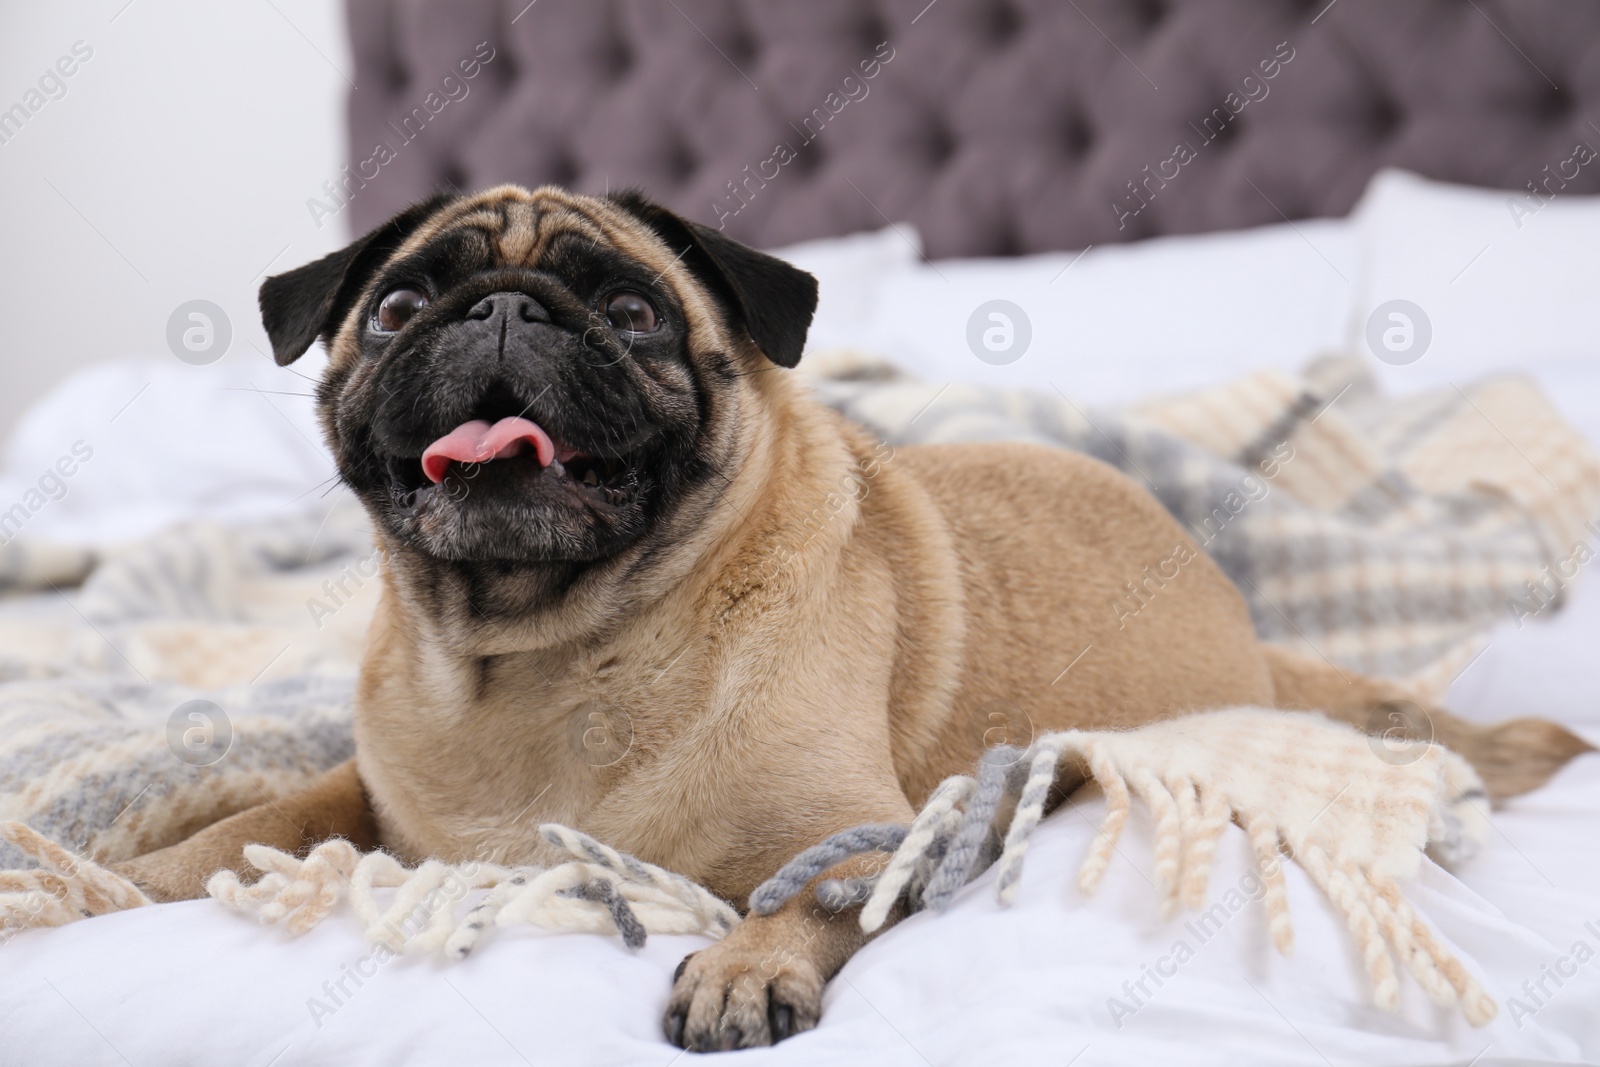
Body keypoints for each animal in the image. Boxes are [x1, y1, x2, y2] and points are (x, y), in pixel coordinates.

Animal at [112, 183, 1587, 1049]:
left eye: (634, 310)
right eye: (402, 305)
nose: (505, 309)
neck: (548, 649)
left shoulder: (858, 829)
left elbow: (810, 888)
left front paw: (742, 966)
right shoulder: (375, 792)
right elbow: (274, 818)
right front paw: (140, 874)